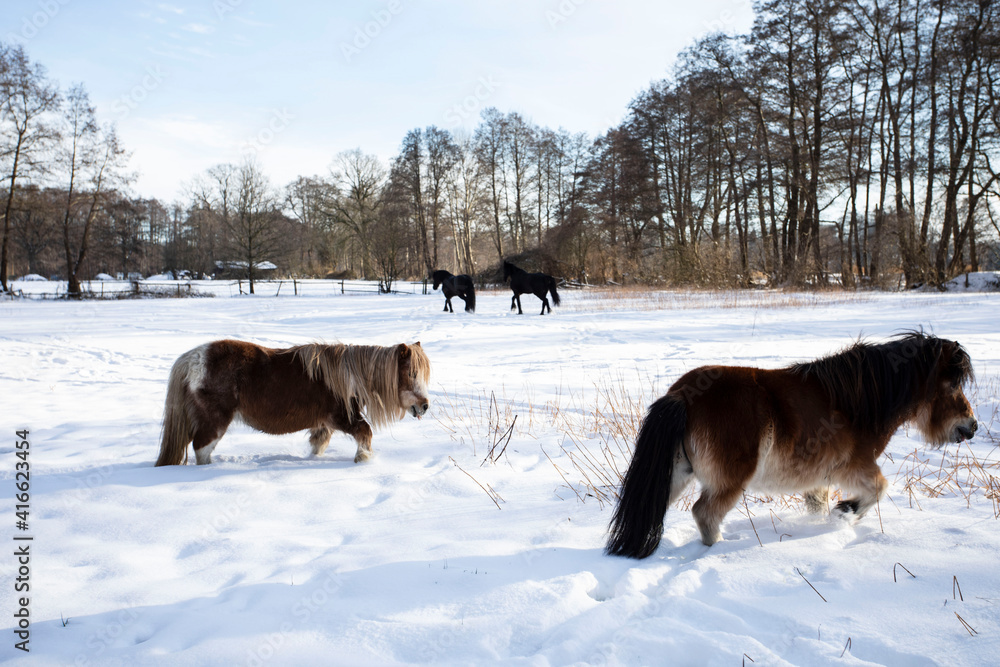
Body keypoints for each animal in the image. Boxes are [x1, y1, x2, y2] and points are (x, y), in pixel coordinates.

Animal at [155, 340, 431, 466]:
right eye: (411, 373)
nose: (425, 405)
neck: (348, 376)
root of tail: (192, 358)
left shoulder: (323, 424)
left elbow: (319, 444)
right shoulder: (341, 417)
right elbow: (365, 432)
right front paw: (363, 458)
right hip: (215, 423)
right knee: (201, 448)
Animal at [606, 332, 977, 559]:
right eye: (953, 384)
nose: (971, 426)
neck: (857, 403)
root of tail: (682, 395)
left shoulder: (817, 481)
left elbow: (819, 505)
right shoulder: (855, 467)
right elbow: (879, 488)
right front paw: (846, 510)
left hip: (675, 476)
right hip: (728, 482)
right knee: (705, 513)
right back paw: (717, 550)